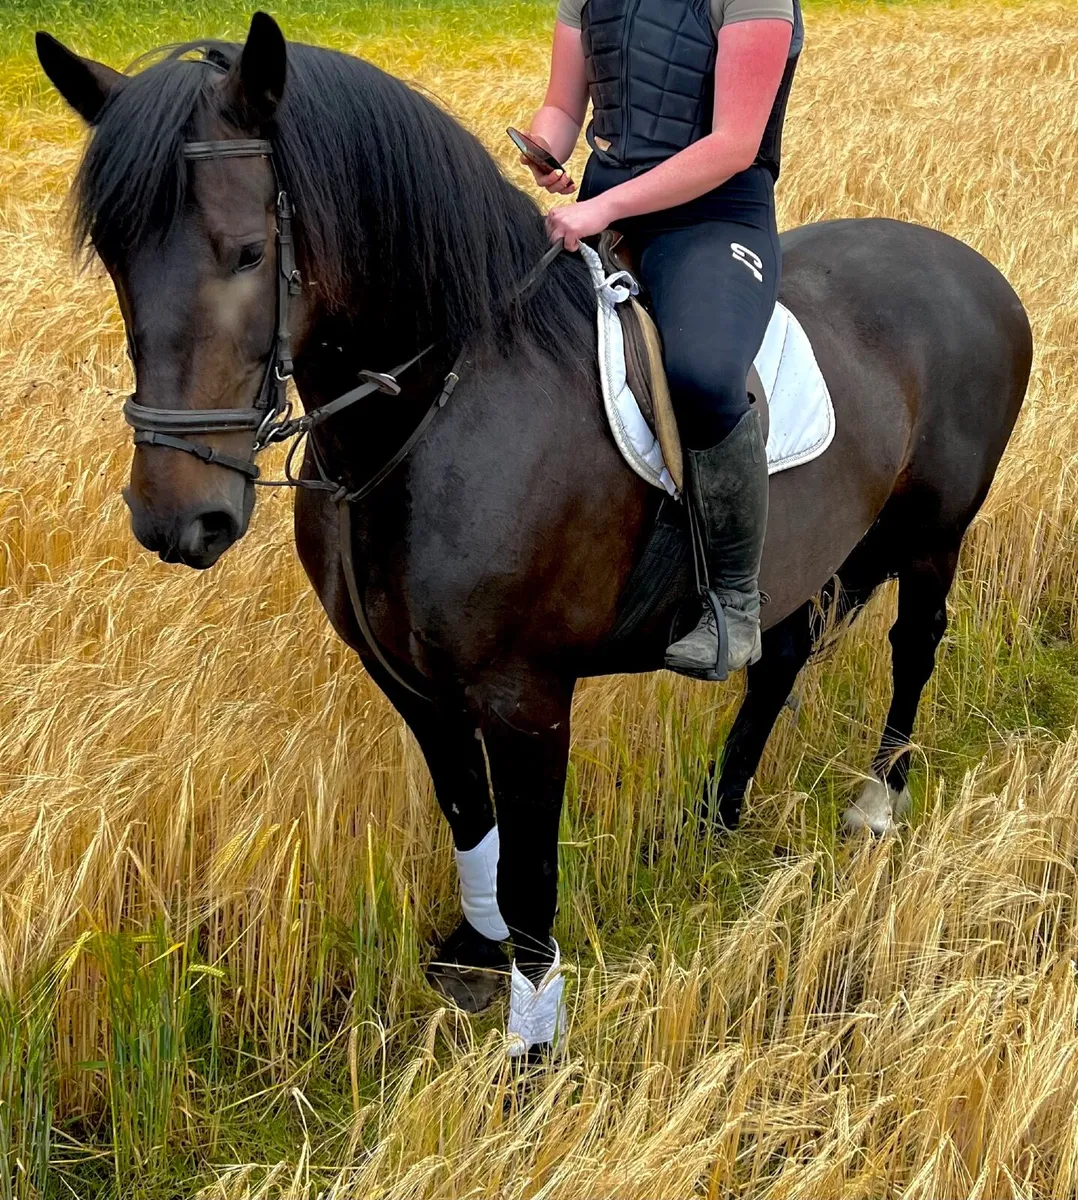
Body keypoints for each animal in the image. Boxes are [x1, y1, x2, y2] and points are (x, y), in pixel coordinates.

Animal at [37, 13, 1032, 1035]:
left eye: (244, 252)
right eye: (114, 258)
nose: (175, 516)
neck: (431, 413)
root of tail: (972, 268)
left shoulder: (527, 699)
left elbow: (531, 872)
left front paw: (534, 1044)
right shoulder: (412, 684)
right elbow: (469, 821)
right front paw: (477, 952)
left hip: (935, 533)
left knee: (913, 644)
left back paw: (874, 803)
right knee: (781, 657)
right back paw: (713, 820)